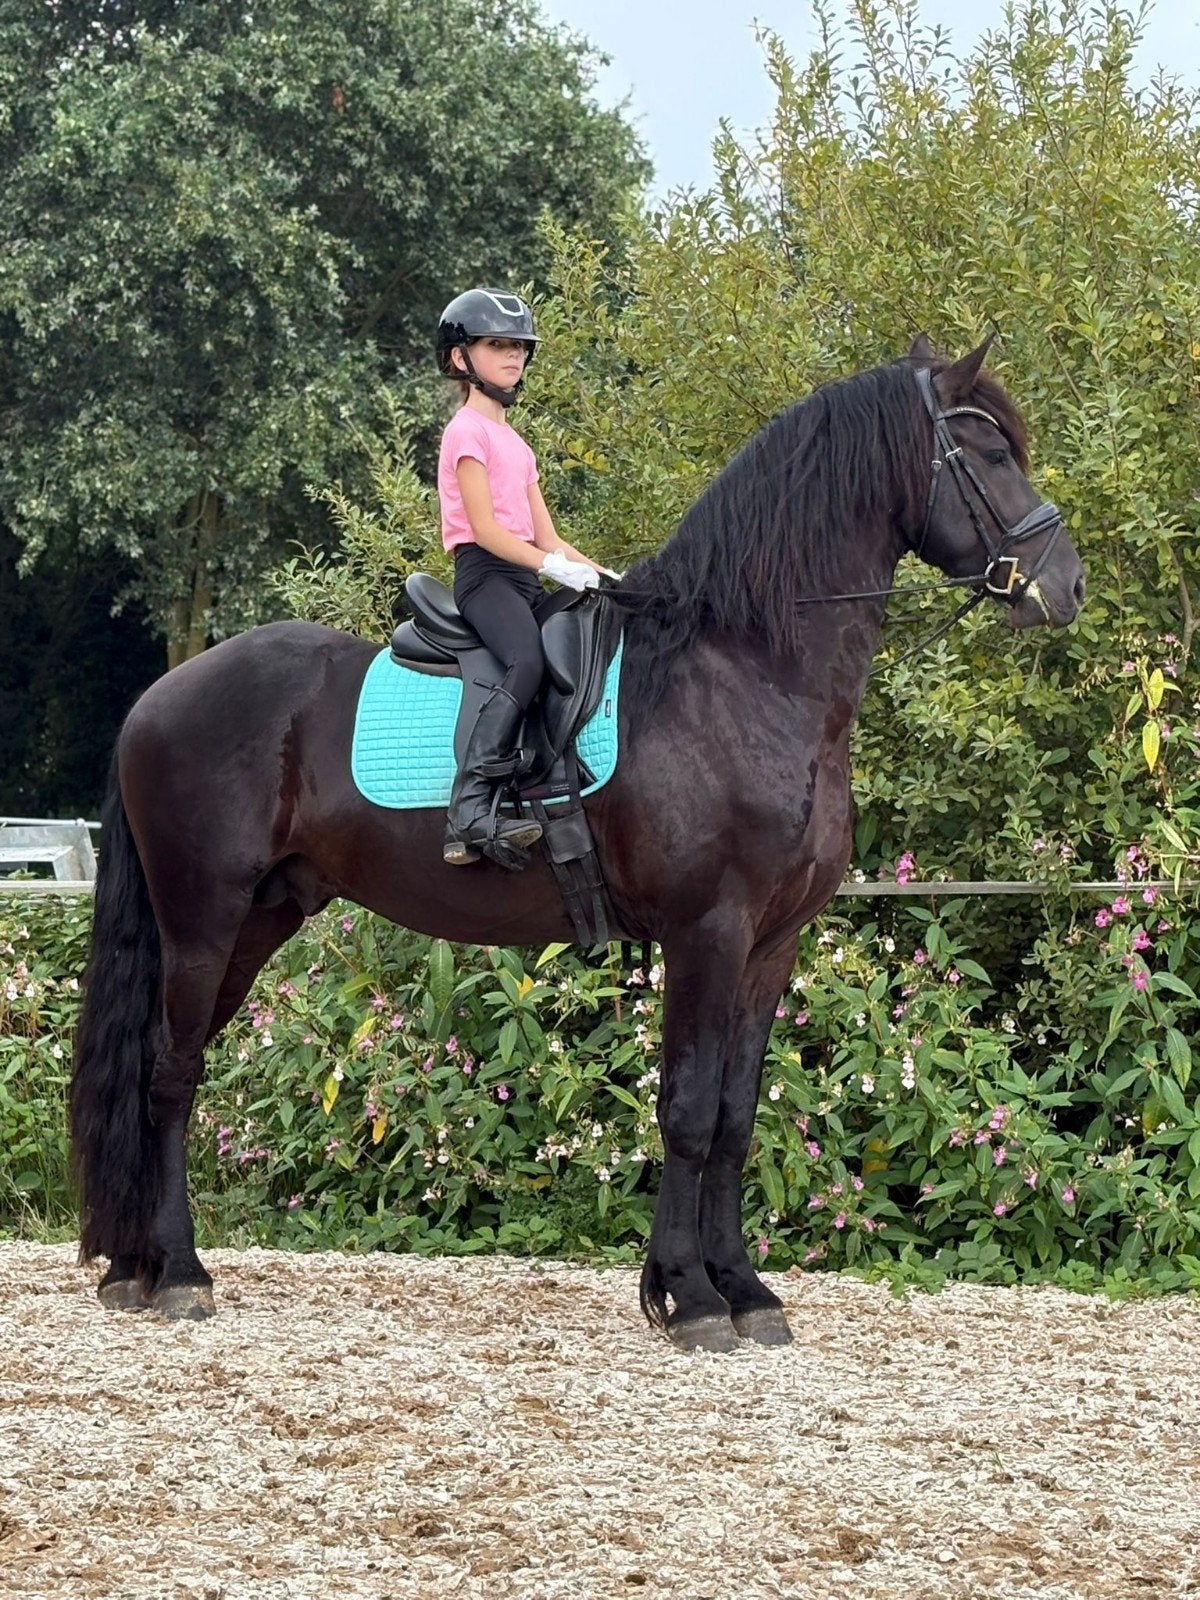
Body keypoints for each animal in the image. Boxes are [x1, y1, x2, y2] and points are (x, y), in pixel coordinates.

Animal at [69, 336, 1085, 1352]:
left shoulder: (771, 943)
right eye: (990, 454)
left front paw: (745, 1289)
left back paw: (133, 1266)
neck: (746, 671)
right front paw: (692, 1297)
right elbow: (687, 1111)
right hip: (203, 919)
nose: (1065, 586)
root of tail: (161, 696)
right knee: (169, 1075)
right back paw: (179, 1273)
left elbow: (735, 1115)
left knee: (165, 1068)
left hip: (260, 916)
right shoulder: (707, 931)